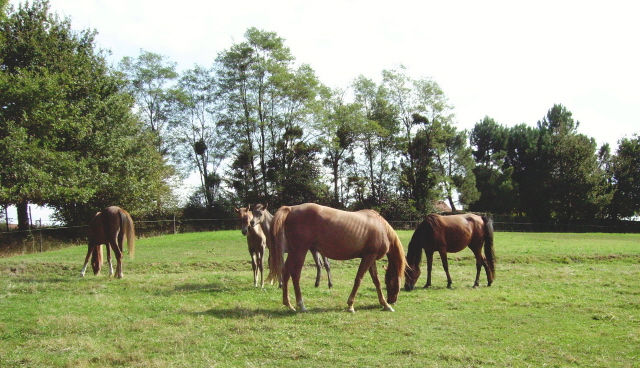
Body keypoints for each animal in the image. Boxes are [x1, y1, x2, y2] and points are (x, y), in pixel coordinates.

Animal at [268, 203, 408, 312]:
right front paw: (351, 305)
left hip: (293, 251)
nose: (392, 300)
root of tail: (291, 208)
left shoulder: (370, 258)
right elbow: (359, 279)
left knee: (286, 272)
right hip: (300, 251)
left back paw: (288, 304)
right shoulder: (368, 257)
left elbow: (376, 281)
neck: (381, 227)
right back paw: (301, 305)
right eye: (391, 281)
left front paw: (385, 304)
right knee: (295, 274)